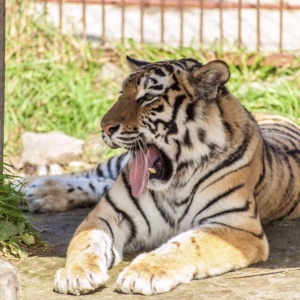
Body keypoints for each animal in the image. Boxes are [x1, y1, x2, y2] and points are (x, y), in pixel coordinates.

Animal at [25, 56, 300, 296]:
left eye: (148, 97)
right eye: (121, 94)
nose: (105, 127)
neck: (176, 181)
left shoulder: (236, 225)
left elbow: (188, 244)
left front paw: (143, 273)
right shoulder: (110, 214)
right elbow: (86, 241)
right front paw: (75, 273)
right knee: (94, 174)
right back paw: (35, 190)